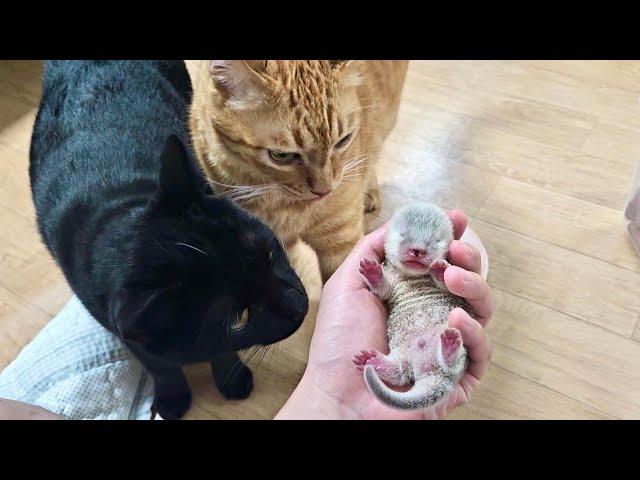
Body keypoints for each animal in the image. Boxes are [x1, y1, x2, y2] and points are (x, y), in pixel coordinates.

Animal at [28, 61, 308, 420]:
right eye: (240, 319)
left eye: (269, 255)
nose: (300, 305)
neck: (122, 212)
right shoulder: (127, 332)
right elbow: (162, 366)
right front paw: (173, 398)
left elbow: (222, 353)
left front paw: (232, 380)